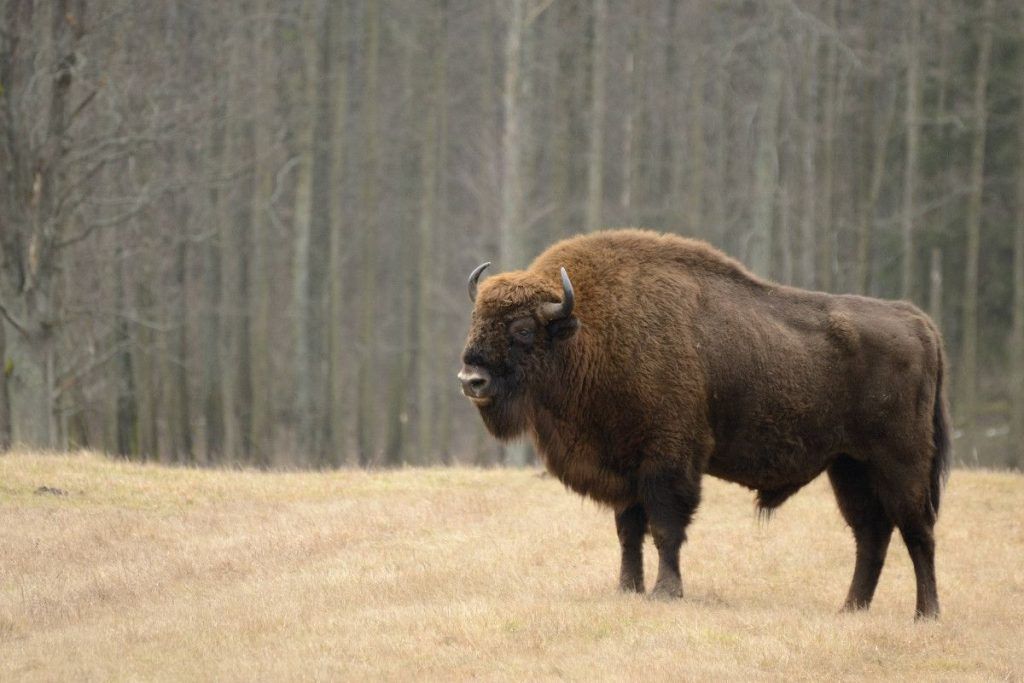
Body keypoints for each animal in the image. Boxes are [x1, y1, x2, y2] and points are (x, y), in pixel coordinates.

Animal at [459, 229, 950, 619]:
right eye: (476, 319)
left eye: (523, 330)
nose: (471, 379)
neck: (587, 333)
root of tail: (920, 322)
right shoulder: (625, 466)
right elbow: (628, 532)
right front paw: (628, 589)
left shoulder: (667, 461)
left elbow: (664, 529)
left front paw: (665, 592)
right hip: (849, 466)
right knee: (871, 534)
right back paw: (850, 609)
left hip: (900, 462)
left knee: (918, 531)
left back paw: (925, 614)